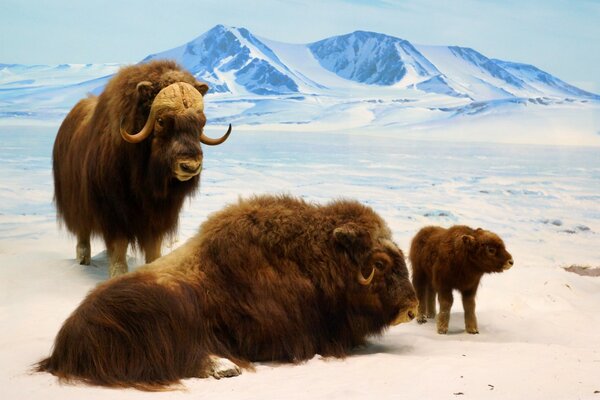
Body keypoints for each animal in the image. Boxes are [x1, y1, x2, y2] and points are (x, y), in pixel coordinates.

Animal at [36, 196, 418, 390]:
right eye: (380, 262)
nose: (412, 308)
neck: (311, 259)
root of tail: (66, 342)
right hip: (153, 314)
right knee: (179, 358)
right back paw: (224, 367)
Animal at [52, 60, 231, 278]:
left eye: (202, 122)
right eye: (161, 121)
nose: (190, 166)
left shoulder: (157, 218)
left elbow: (153, 249)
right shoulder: (115, 214)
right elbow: (119, 247)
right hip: (77, 206)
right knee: (83, 234)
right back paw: (83, 261)